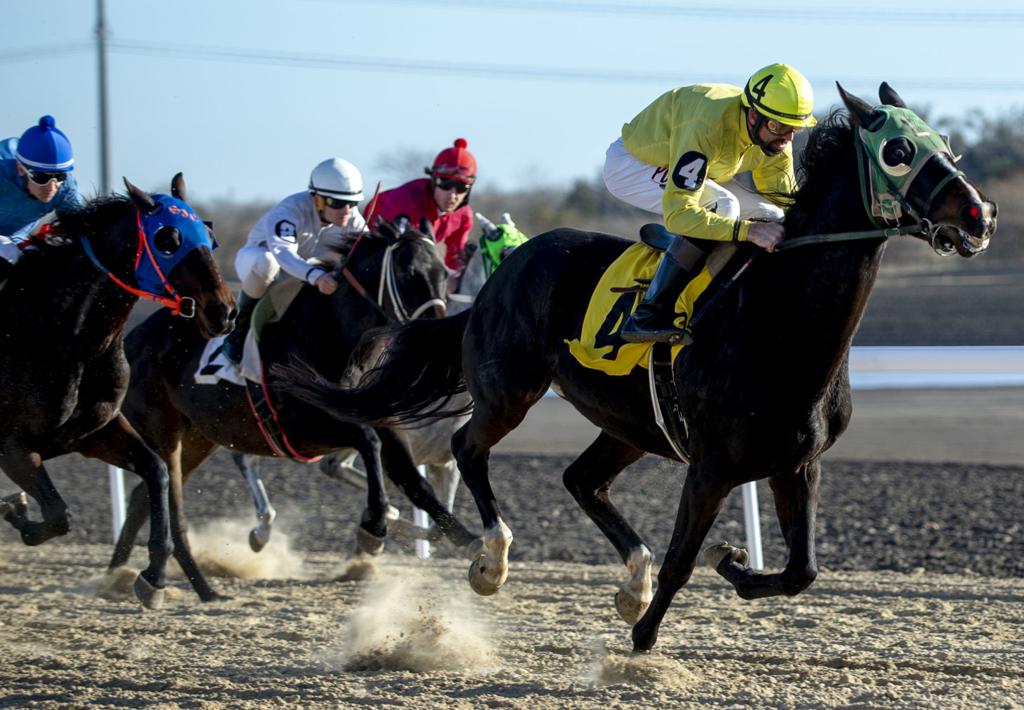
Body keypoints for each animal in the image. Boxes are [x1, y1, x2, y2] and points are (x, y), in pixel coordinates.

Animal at [0, 174, 235, 608]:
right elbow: (58, 514)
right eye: (168, 239)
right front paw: (16, 512)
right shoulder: (13, 446)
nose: (223, 311)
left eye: (210, 237)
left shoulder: (94, 433)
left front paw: (153, 578)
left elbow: (157, 473)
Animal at [110, 220, 480, 601]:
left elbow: (412, 479)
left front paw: (474, 544)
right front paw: (374, 526)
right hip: (163, 429)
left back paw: (127, 576)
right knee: (168, 497)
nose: (440, 332)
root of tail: (131, 339)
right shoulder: (301, 430)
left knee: (143, 495)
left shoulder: (384, 422)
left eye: (443, 273)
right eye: (407, 273)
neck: (330, 338)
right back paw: (168, 580)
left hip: (199, 436)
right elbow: (369, 443)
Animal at [273, 83, 998, 651]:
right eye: (898, 151)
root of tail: (504, 270)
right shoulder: (712, 466)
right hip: (510, 390)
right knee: (467, 447)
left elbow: (803, 572)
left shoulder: (797, 462)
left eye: (944, 142)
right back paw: (491, 560)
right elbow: (682, 560)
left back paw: (629, 581)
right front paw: (641, 643)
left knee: (580, 479)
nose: (980, 214)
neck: (777, 325)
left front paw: (729, 562)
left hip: (627, 425)